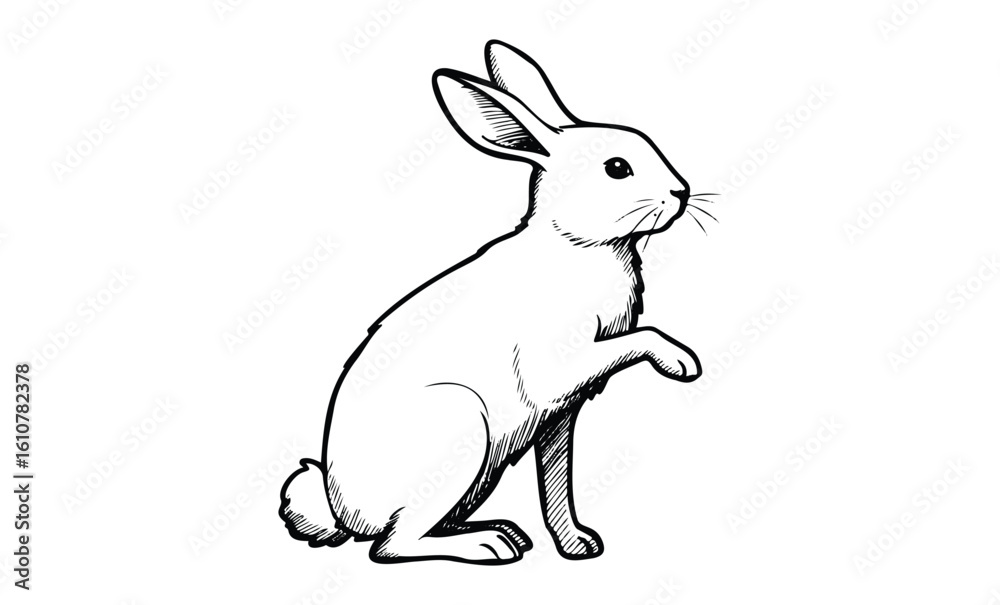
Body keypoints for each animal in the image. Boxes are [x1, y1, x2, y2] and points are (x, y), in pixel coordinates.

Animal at [279, 40, 702, 565]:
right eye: (617, 168)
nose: (681, 192)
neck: (576, 245)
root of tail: (341, 511)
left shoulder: (559, 417)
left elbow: (555, 482)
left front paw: (578, 545)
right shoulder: (558, 370)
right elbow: (638, 339)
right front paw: (681, 362)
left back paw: (503, 532)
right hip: (458, 430)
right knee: (391, 546)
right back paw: (491, 545)